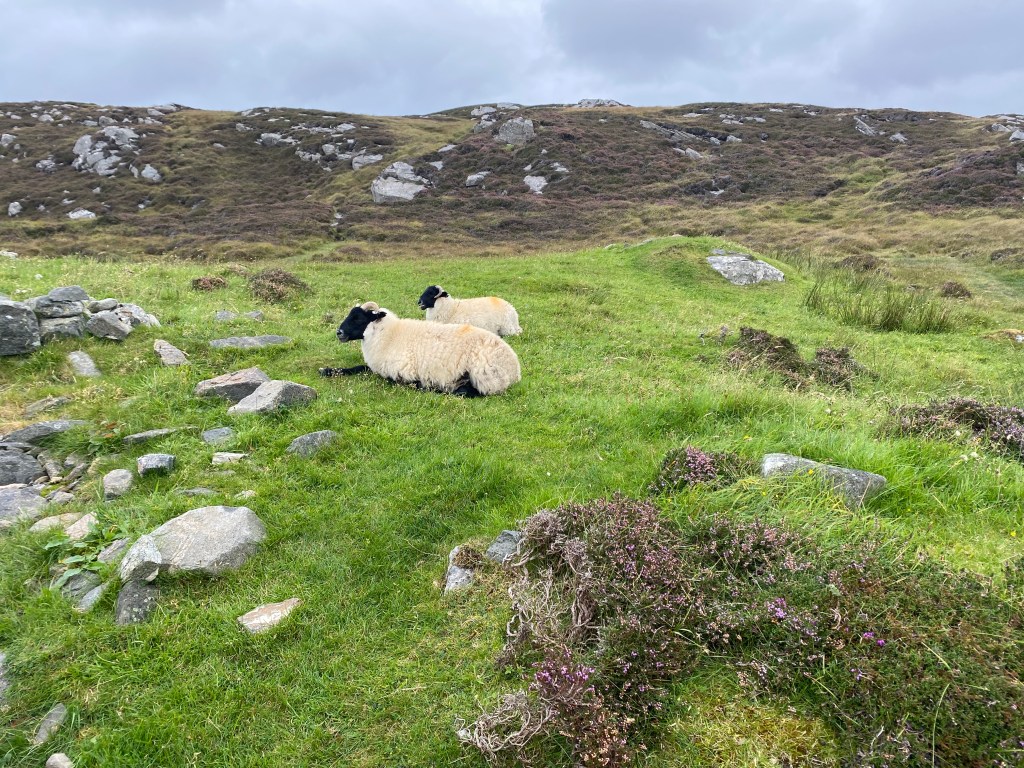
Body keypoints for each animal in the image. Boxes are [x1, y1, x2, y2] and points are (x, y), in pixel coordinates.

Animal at [319, 302, 521, 397]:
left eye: (359, 318)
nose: (339, 332)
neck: (389, 335)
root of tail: (515, 370)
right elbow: (358, 367)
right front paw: (327, 370)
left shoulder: (401, 371)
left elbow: (399, 381)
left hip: (483, 376)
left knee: (467, 392)